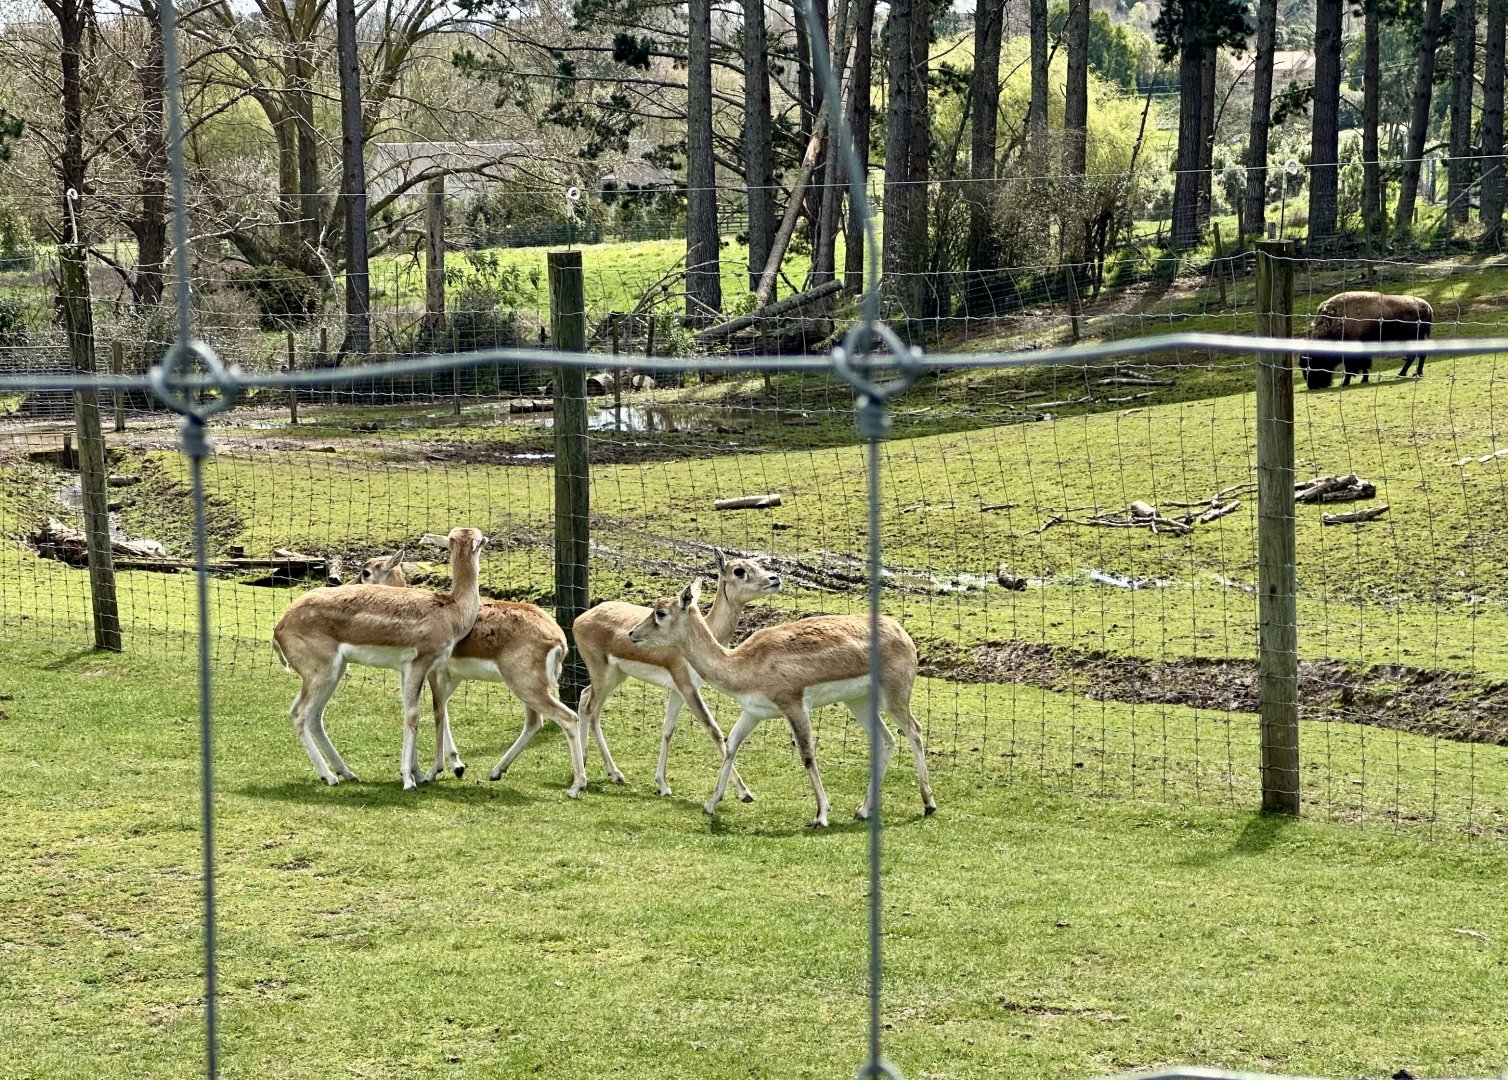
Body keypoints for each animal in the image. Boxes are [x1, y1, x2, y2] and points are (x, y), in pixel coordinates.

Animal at [273, 527, 486, 790]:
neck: (451, 611)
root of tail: (278, 629)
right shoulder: (420, 663)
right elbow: (414, 714)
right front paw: (410, 779)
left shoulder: (407, 669)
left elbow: (414, 708)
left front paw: (418, 773)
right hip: (320, 671)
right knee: (300, 714)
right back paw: (330, 777)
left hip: (334, 671)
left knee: (312, 715)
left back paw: (347, 772)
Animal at [362, 554, 588, 798]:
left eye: (366, 573)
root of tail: (558, 639)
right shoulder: (452, 678)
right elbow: (443, 711)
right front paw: (456, 766)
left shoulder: (433, 674)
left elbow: (437, 712)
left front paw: (435, 771)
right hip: (527, 688)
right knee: (534, 723)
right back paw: (497, 771)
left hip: (526, 687)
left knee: (567, 718)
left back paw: (576, 786)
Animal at [572, 549, 781, 799]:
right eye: (739, 570)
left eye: (756, 564)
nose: (775, 579)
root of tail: (580, 619)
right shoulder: (686, 686)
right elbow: (713, 729)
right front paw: (744, 792)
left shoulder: (678, 690)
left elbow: (668, 730)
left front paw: (662, 783)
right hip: (602, 674)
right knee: (589, 708)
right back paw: (588, 774)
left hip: (616, 676)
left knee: (587, 701)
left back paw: (613, 773)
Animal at [628, 579, 936, 828]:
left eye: (660, 612)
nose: (631, 633)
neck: (743, 665)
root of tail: (903, 633)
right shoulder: (753, 712)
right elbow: (731, 744)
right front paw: (712, 803)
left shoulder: (794, 705)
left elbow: (807, 755)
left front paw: (821, 815)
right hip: (858, 700)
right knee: (886, 739)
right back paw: (863, 810)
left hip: (894, 695)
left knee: (915, 729)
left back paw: (928, 804)